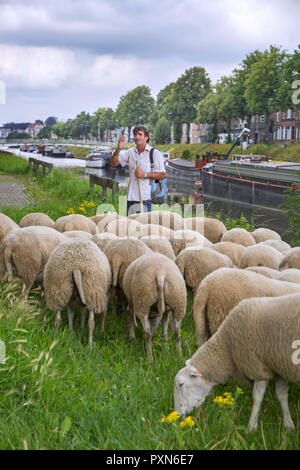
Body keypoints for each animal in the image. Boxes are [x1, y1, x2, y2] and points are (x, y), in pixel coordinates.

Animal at [173, 294, 300, 434]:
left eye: (181, 384)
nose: (177, 415)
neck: (227, 350)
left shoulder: (257, 367)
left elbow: (257, 397)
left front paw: (251, 427)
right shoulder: (279, 367)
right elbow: (282, 396)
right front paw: (289, 425)